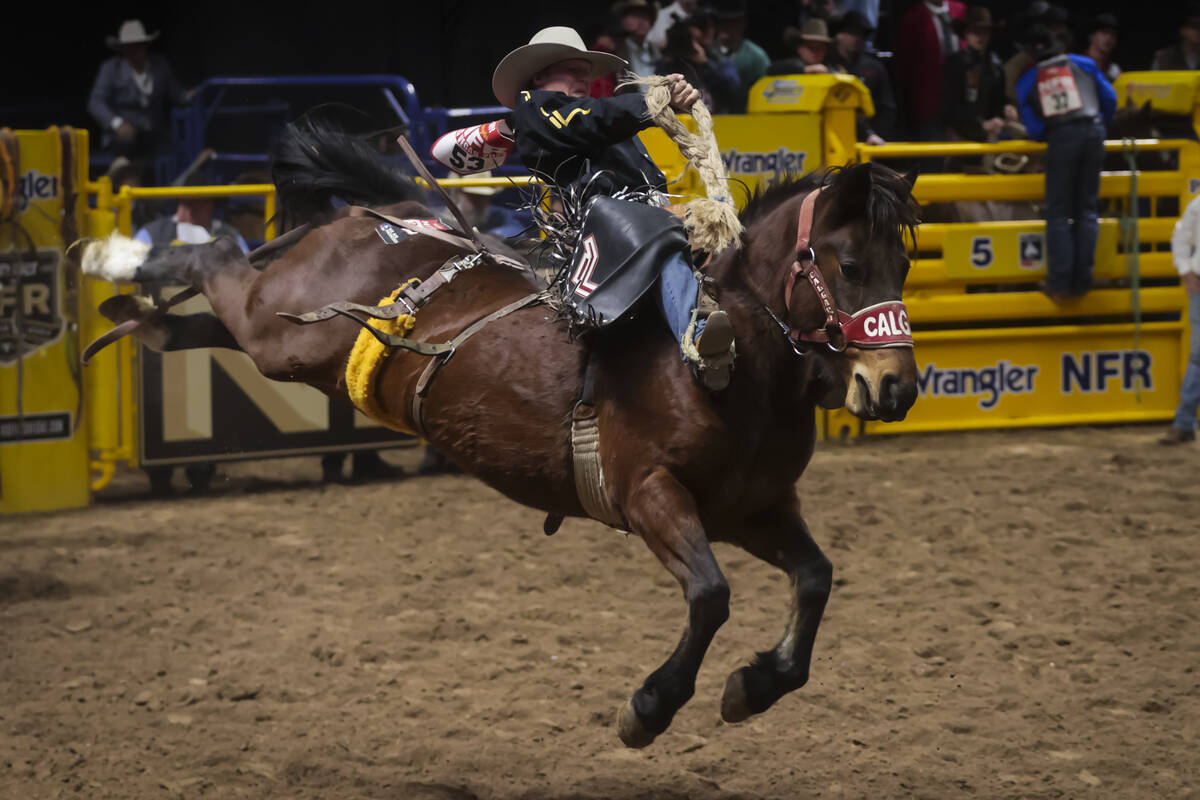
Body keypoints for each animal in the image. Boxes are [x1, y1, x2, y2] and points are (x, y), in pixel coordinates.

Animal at [77, 122, 916, 748]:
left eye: (906, 263)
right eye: (847, 263)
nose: (898, 387)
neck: (729, 361)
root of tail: (380, 217)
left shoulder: (753, 509)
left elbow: (815, 578)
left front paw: (755, 686)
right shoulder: (650, 495)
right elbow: (710, 596)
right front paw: (648, 708)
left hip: (278, 341)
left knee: (203, 314)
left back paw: (136, 314)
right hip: (279, 325)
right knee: (219, 255)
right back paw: (109, 255)